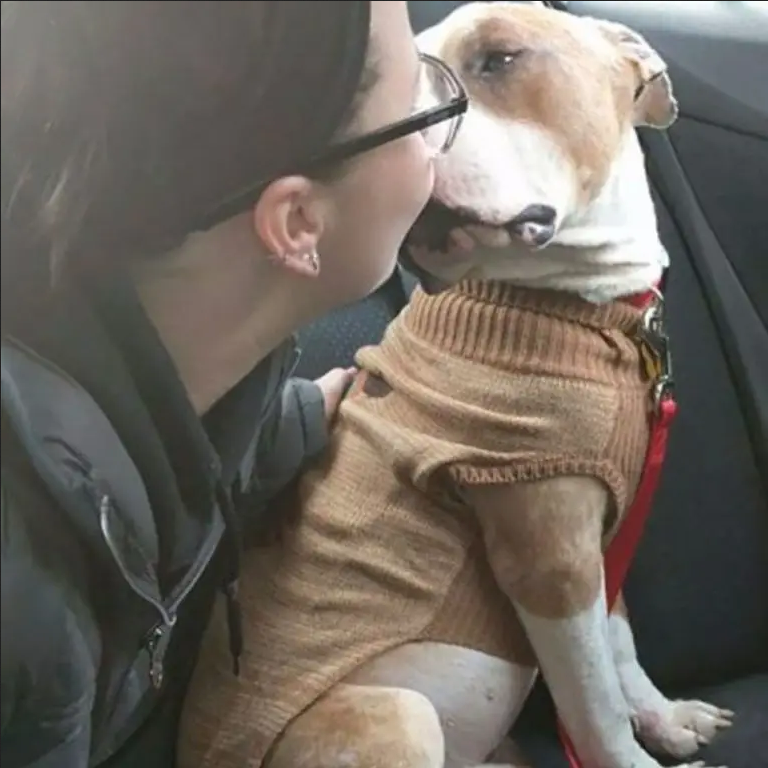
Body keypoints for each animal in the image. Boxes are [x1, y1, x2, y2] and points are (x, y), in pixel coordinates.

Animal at [177, 6, 736, 768]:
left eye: (500, 59)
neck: (572, 306)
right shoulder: (548, 559)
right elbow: (593, 705)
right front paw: (630, 755)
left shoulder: (599, 536)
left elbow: (618, 641)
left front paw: (665, 716)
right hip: (398, 712)